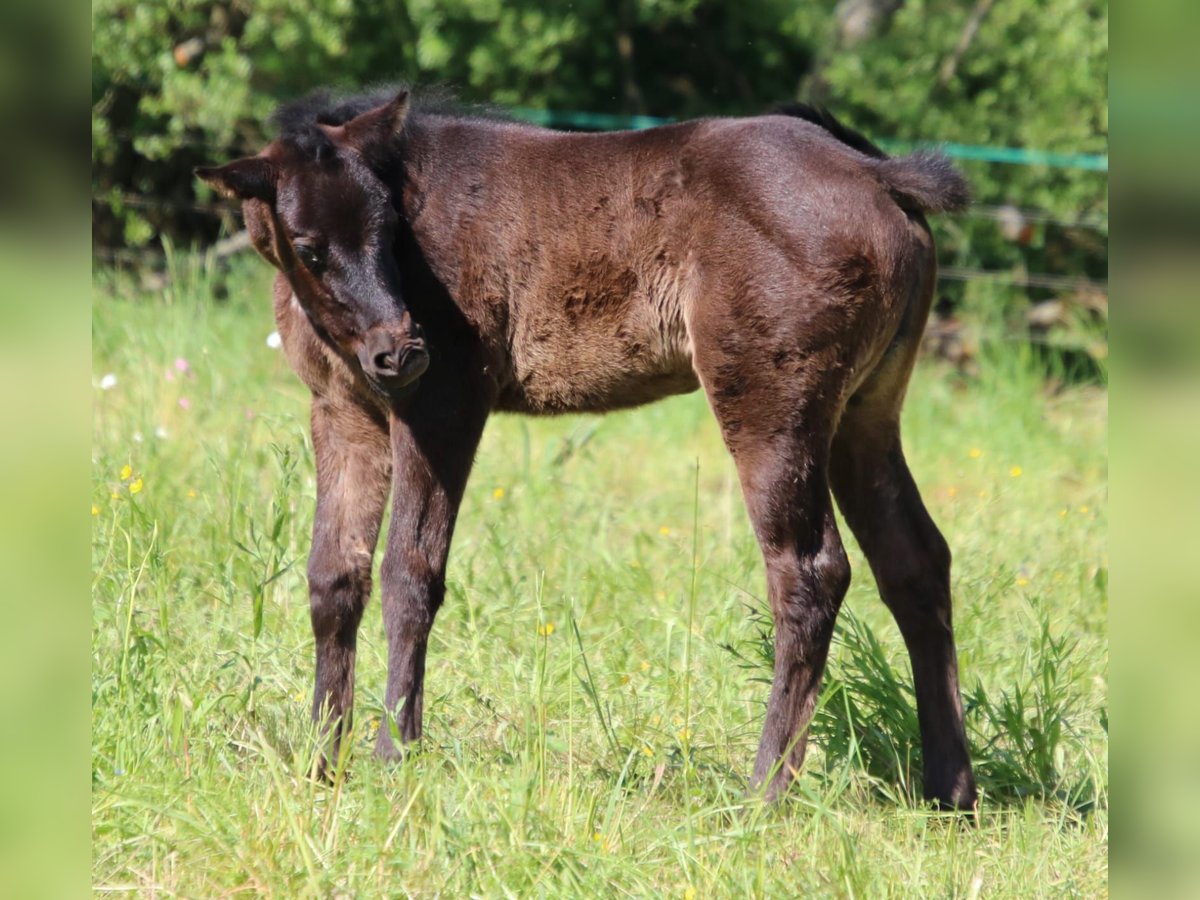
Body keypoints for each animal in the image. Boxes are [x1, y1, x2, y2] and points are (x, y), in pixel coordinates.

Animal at [196, 90, 979, 811]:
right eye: (309, 246)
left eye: (390, 230)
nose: (402, 351)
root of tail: (878, 175)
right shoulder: (343, 413)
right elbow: (334, 576)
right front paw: (321, 767)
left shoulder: (445, 403)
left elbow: (409, 573)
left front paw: (395, 757)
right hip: (864, 412)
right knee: (914, 559)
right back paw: (952, 792)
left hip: (771, 404)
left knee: (811, 570)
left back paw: (762, 794)